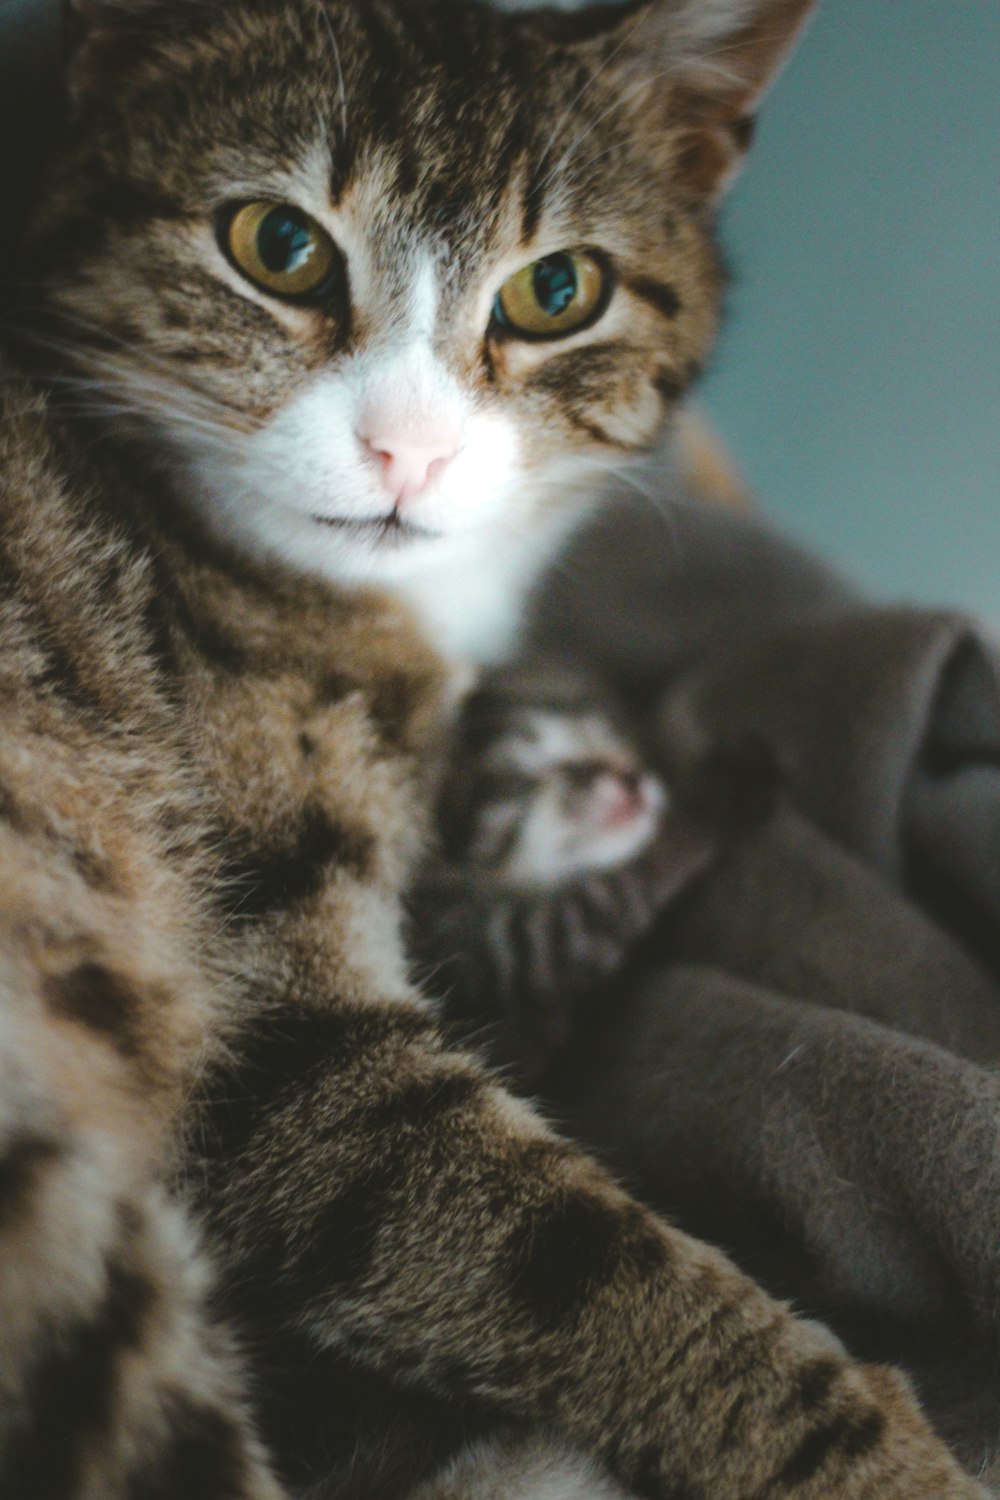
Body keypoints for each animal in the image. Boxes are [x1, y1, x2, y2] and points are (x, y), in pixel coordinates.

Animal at [0, 2, 983, 1500]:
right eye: (277, 244)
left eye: (558, 290)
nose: (404, 454)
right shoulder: (276, 1028)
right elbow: (578, 1263)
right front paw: (883, 1461)